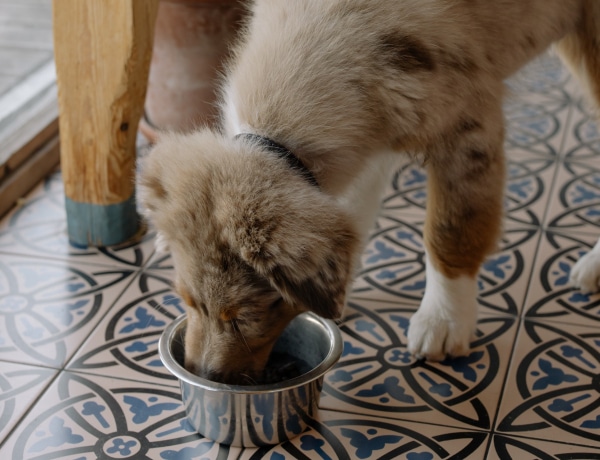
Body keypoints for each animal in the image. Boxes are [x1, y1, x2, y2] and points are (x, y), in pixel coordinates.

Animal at [139, 0, 600, 384]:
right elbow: (352, 213)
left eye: (242, 316)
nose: (202, 374)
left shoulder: (467, 126)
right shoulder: (374, 133)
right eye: (186, 300)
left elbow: (450, 230)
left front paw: (444, 321)